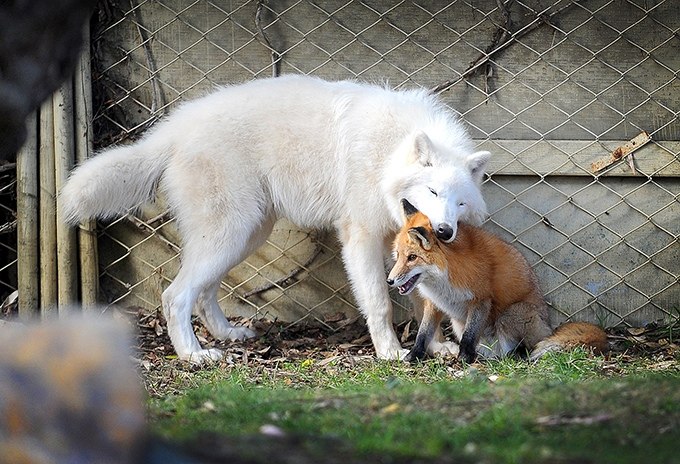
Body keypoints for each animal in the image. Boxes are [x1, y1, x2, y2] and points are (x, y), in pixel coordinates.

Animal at [59, 75, 488, 362]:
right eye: (433, 193)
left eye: (459, 203)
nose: (444, 231)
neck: (390, 152)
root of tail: (175, 129)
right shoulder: (361, 239)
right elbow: (380, 304)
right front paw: (391, 353)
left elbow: (423, 303)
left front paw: (434, 346)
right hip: (230, 234)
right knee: (175, 295)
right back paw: (194, 356)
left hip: (244, 236)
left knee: (204, 293)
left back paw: (228, 334)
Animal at [386, 199, 608, 362]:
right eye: (398, 256)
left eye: (412, 257)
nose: (389, 281)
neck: (443, 281)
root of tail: (549, 329)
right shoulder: (434, 303)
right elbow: (423, 334)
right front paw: (414, 356)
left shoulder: (481, 299)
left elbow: (469, 336)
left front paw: (464, 358)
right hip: (460, 324)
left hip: (512, 314)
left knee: (529, 346)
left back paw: (516, 355)